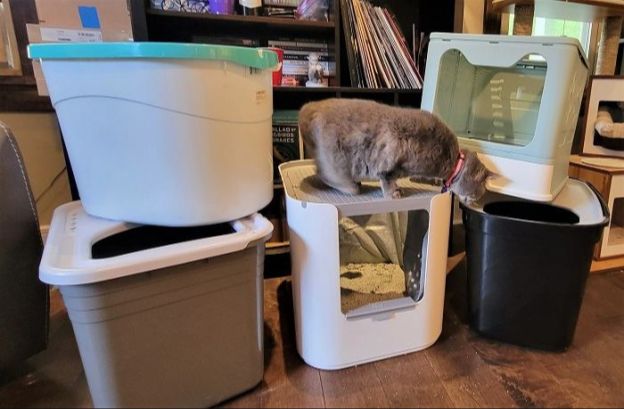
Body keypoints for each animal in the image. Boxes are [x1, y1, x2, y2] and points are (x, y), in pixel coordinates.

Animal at [300, 97, 494, 202]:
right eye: (479, 192)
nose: (475, 202)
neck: (453, 161)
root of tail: (306, 108)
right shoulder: (390, 158)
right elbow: (386, 177)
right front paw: (393, 193)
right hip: (336, 159)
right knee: (328, 175)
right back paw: (350, 186)